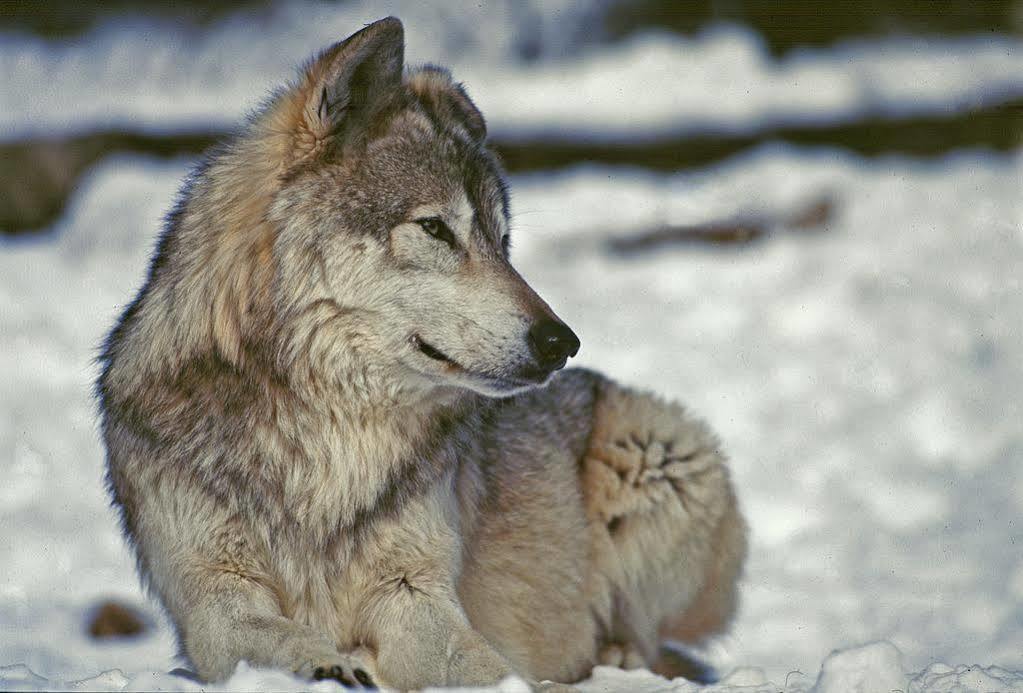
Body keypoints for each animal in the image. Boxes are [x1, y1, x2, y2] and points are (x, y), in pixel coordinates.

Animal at [97, 17, 744, 691]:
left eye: (502, 241)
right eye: (435, 228)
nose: (561, 342)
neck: (331, 434)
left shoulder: (413, 592)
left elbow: (486, 667)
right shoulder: (214, 597)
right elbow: (267, 635)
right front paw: (329, 662)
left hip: (665, 453)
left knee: (648, 639)